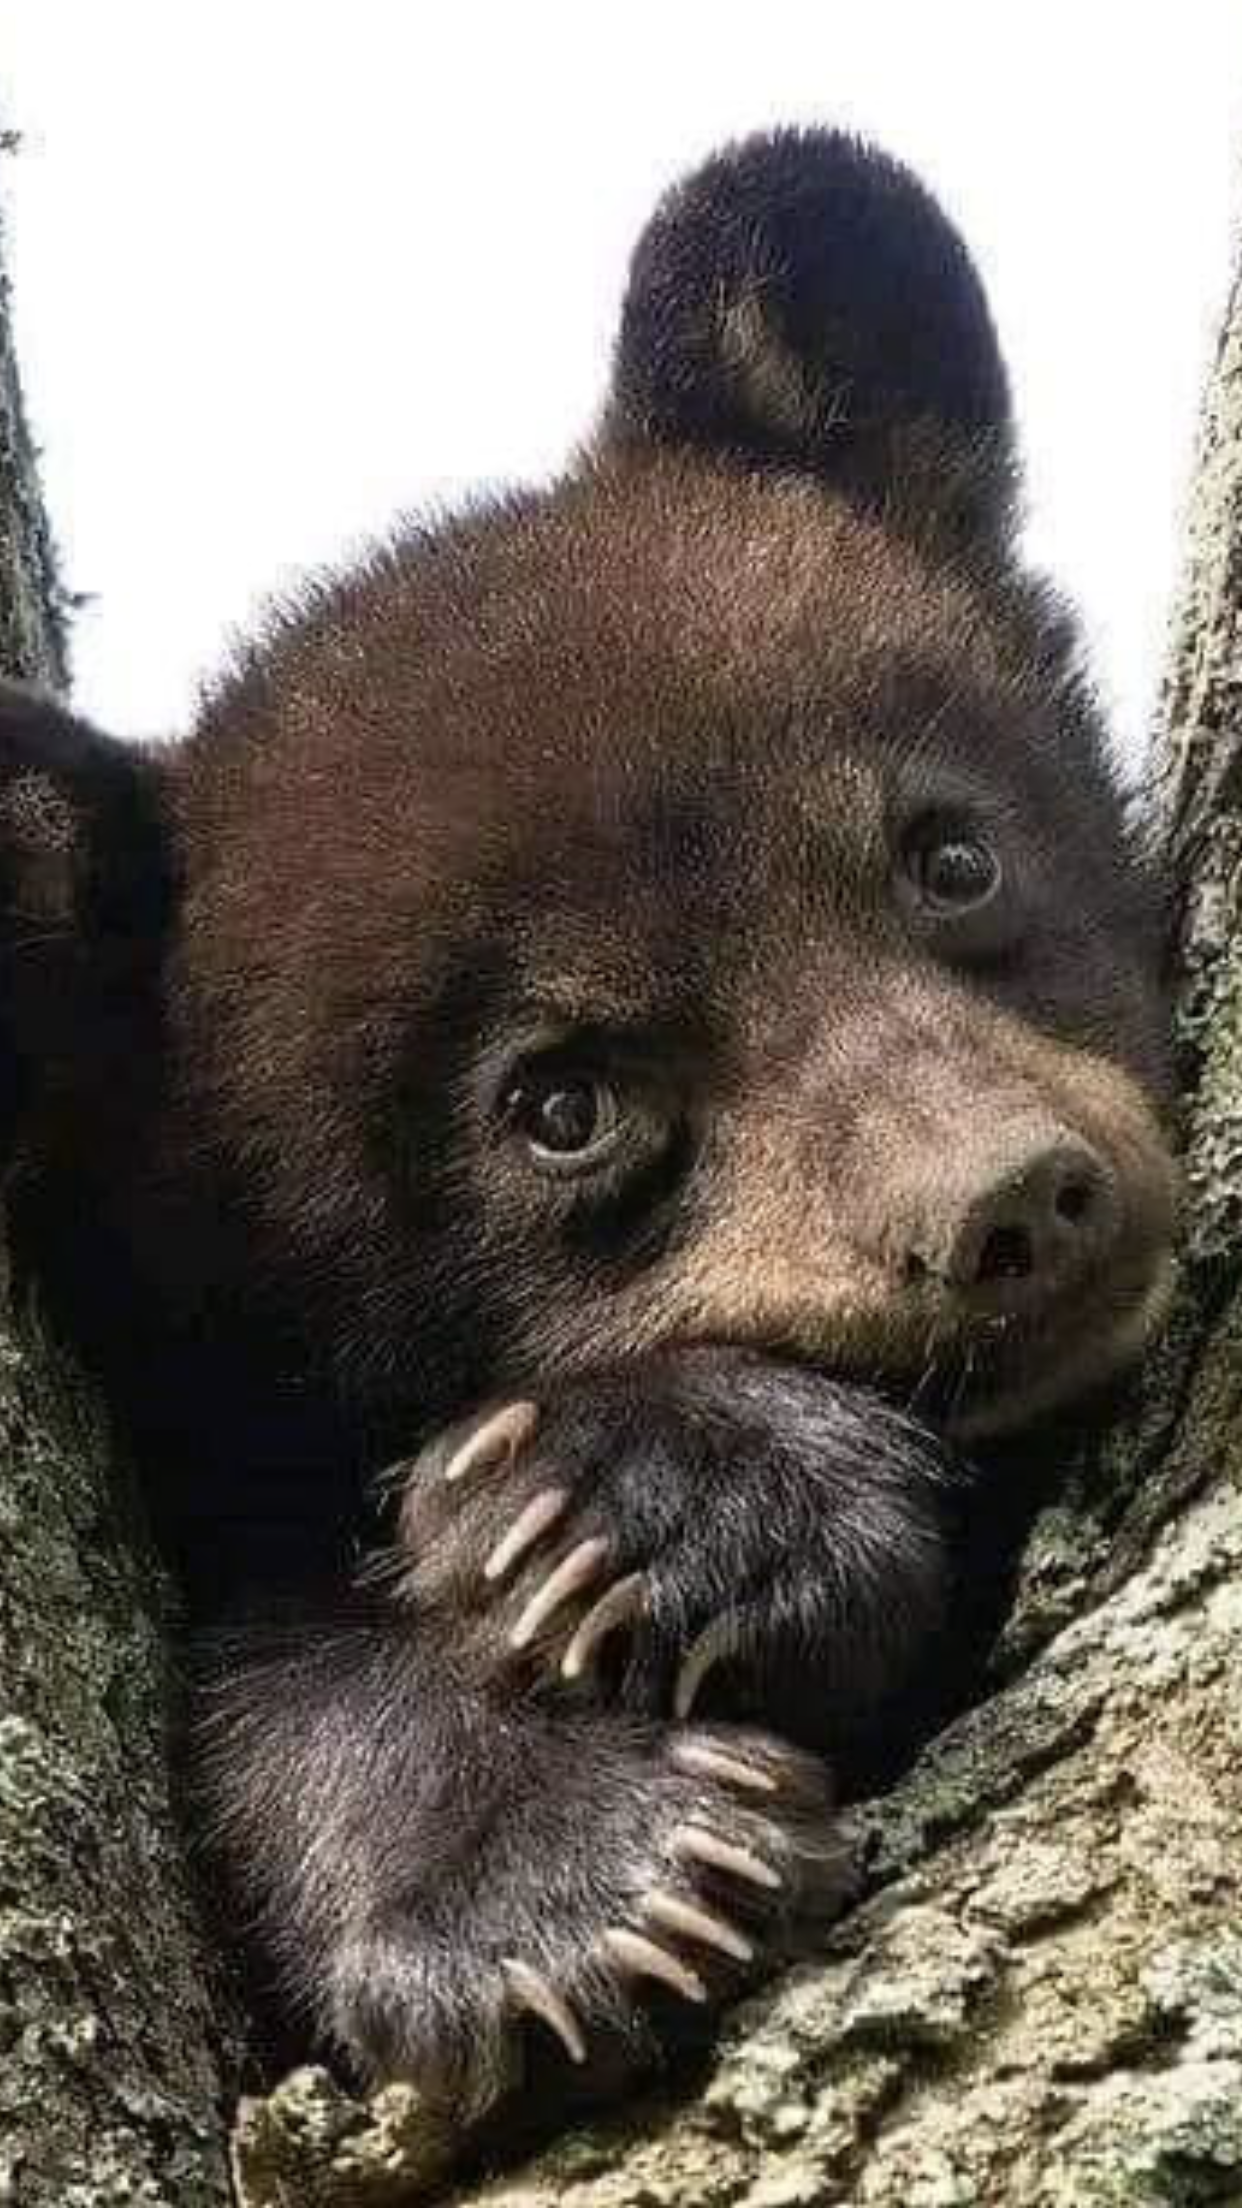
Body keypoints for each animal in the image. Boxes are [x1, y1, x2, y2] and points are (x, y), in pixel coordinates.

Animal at [0, 127, 1176, 2117]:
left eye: (949, 854)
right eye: (560, 1102)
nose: (1014, 1199)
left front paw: (645, 1494)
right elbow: (261, 1672)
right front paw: (568, 1865)